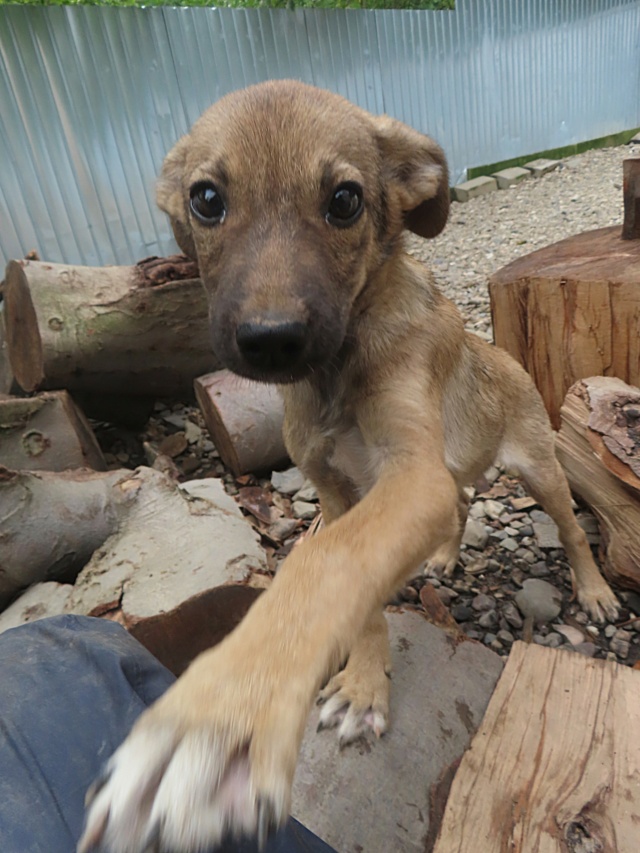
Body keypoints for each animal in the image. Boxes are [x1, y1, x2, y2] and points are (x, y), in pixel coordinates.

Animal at [77, 80, 616, 852]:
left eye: (344, 201)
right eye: (206, 198)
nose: (271, 340)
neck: (335, 372)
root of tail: (507, 356)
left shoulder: (407, 474)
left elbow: (322, 567)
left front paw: (225, 709)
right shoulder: (339, 494)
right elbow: (354, 588)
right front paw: (364, 682)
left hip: (539, 469)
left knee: (570, 529)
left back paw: (595, 590)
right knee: (459, 502)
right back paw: (444, 555)